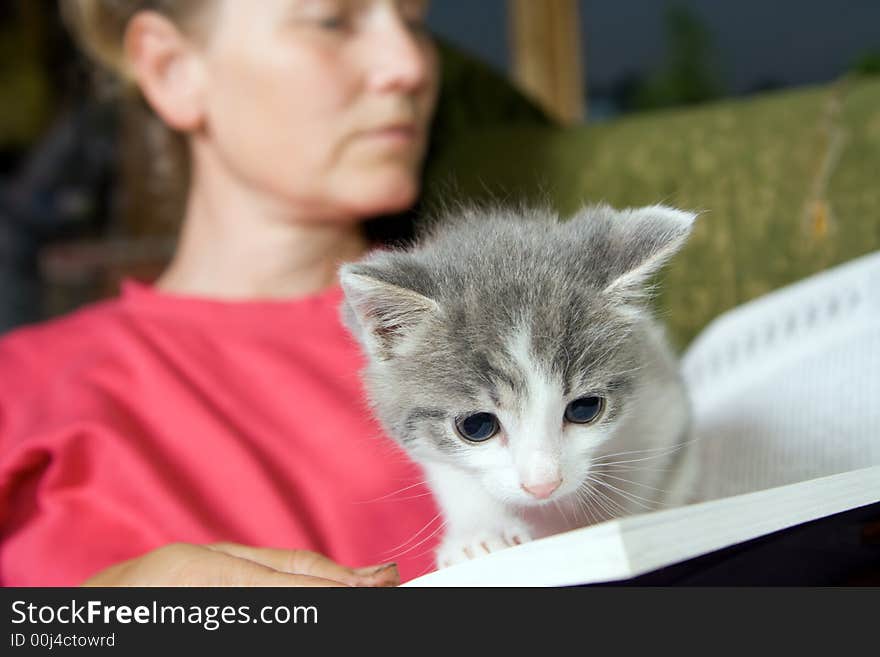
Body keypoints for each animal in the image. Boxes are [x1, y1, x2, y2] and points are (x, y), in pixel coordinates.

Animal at [340, 202, 696, 568]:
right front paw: (482, 534)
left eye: (585, 409)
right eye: (476, 426)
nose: (543, 485)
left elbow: (644, 474)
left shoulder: (660, 402)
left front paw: (613, 519)